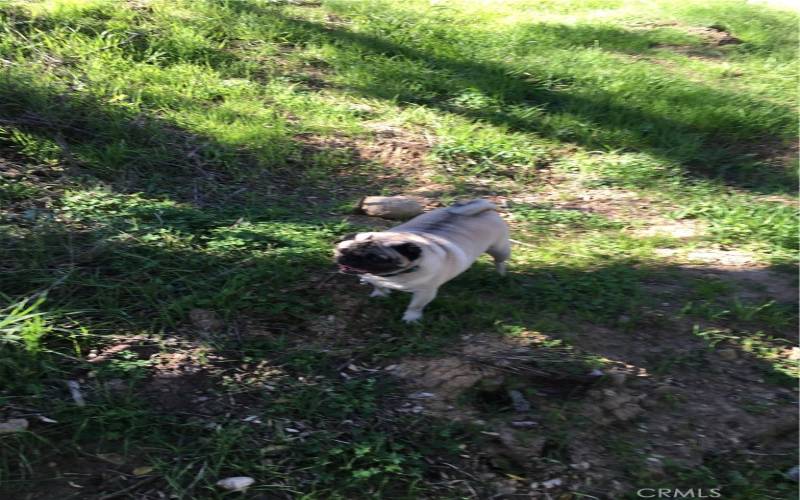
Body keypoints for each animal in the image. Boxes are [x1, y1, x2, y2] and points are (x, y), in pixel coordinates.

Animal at [332, 200, 510, 322]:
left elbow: (415, 306)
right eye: (344, 250)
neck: (394, 276)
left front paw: (410, 318)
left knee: (499, 261)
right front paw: (380, 295)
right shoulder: (375, 279)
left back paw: (500, 274)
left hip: (499, 249)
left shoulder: (425, 293)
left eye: (375, 258)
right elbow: (378, 286)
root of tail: (486, 208)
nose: (348, 258)